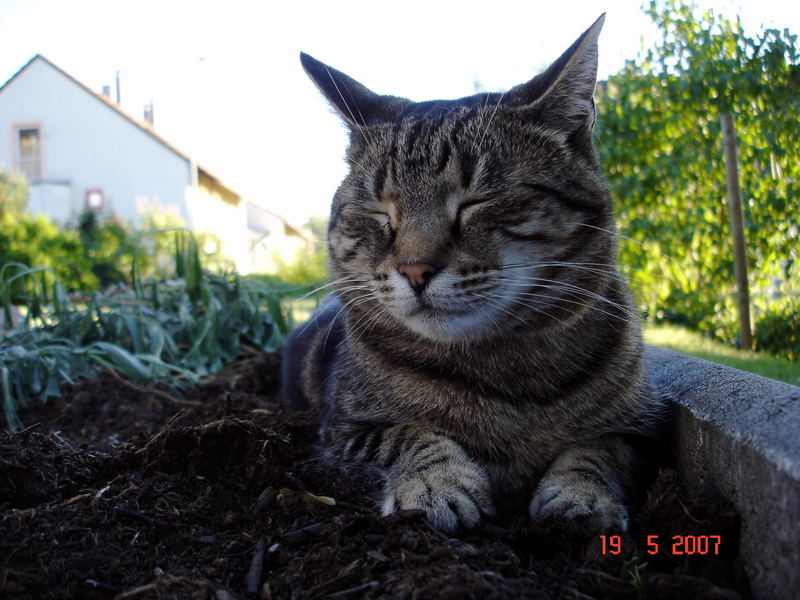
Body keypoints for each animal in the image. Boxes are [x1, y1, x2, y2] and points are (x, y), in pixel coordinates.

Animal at [282, 14, 664, 532]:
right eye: (379, 212)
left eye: (477, 201)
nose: (415, 269)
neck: (507, 375)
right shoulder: (342, 430)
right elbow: (408, 434)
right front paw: (436, 483)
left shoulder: (640, 431)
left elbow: (598, 449)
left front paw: (582, 496)